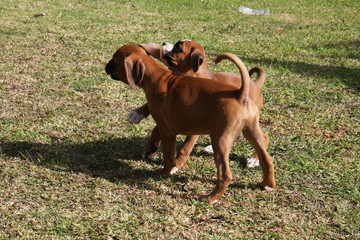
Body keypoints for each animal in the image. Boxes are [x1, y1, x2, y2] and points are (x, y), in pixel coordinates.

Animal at [105, 44, 276, 202]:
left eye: (114, 60)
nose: (106, 65)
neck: (158, 76)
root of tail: (240, 94)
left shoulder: (167, 131)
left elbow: (169, 156)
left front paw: (165, 171)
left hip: (221, 139)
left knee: (225, 174)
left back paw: (211, 197)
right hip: (250, 131)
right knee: (267, 158)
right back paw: (266, 184)